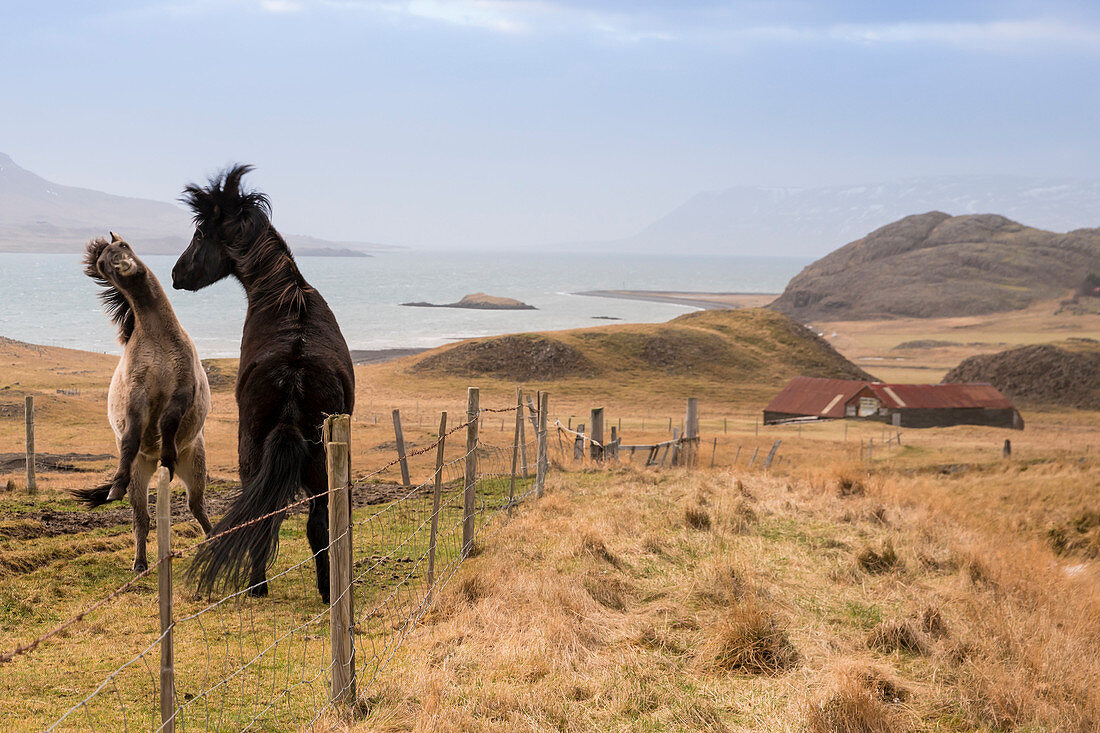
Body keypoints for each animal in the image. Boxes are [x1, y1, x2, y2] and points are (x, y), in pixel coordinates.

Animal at [72, 234, 212, 572]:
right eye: (103, 265)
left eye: (123, 247)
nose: (121, 264)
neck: (157, 338)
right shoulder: (138, 395)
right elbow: (132, 435)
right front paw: (116, 483)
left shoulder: (182, 389)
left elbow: (169, 421)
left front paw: (168, 456)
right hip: (141, 475)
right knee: (142, 518)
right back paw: (140, 563)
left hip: (196, 466)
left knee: (197, 507)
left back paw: (214, 539)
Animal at [172, 165, 352, 598]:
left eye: (199, 236)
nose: (175, 274)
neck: (287, 299)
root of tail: (293, 379)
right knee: (312, 522)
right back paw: (312, 588)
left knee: (284, 520)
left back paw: (268, 586)